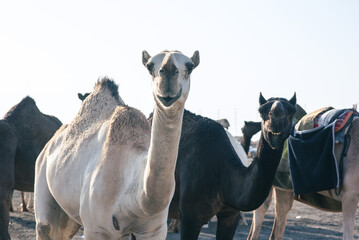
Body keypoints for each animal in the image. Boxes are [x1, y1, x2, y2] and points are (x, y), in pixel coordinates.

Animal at [34, 49, 200, 239]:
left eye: (190, 66)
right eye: (150, 66)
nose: (169, 70)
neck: (137, 200)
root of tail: (48, 145)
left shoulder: (154, 230)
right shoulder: (96, 228)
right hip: (41, 176)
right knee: (44, 225)